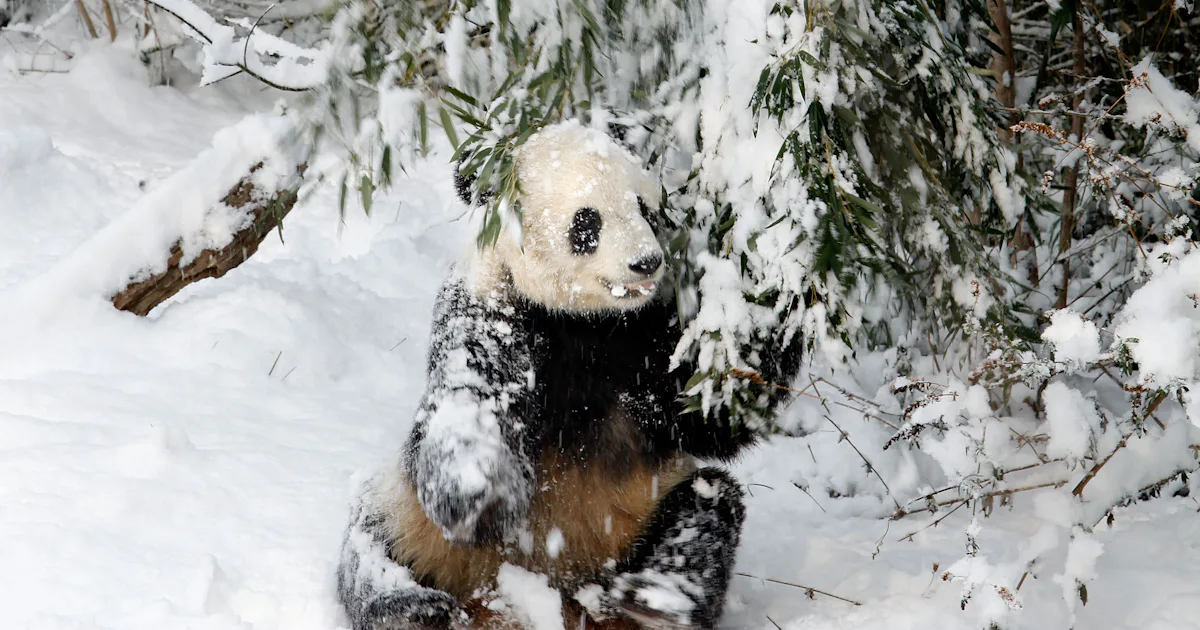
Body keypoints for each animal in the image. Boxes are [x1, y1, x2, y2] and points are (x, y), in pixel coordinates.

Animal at [336, 121, 800, 630]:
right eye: (587, 222)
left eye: (645, 208)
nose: (646, 262)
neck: (585, 321)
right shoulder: (493, 309)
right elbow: (469, 398)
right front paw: (485, 498)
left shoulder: (647, 338)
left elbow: (708, 412)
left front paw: (780, 288)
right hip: (411, 521)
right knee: (372, 549)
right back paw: (411, 611)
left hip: (641, 522)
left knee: (708, 507)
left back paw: (657, 602)